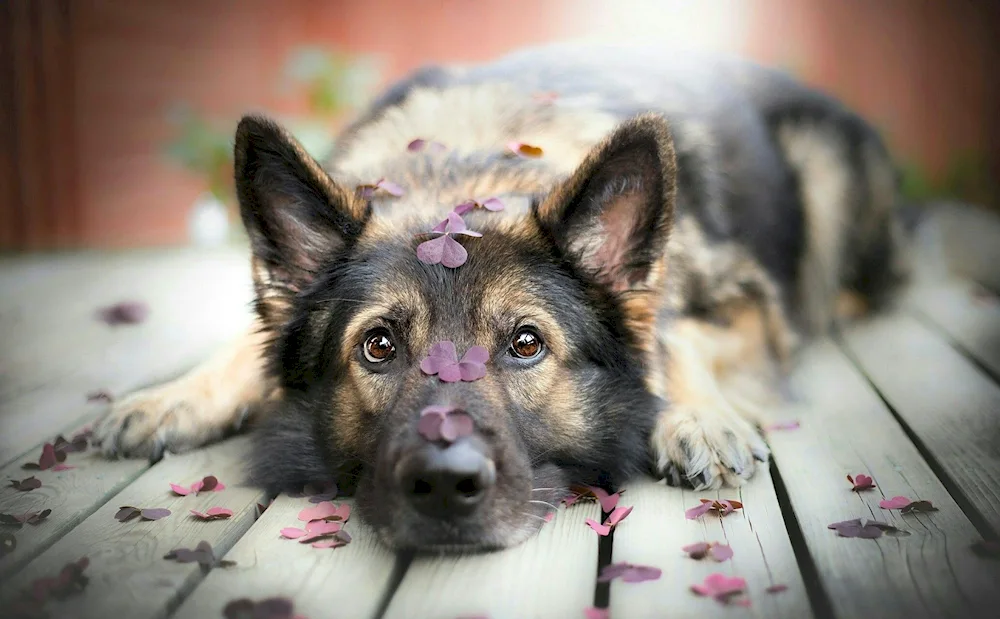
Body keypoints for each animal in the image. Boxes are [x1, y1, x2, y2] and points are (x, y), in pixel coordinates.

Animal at [92, 46, 908, 556]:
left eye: (525, 344)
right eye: (378, 346)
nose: (444, 484)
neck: (461, 171)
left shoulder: (747, 300)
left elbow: (675, 334)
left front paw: (699, 417)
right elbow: (241, 344)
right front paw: (172, 395)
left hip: (823, 172)